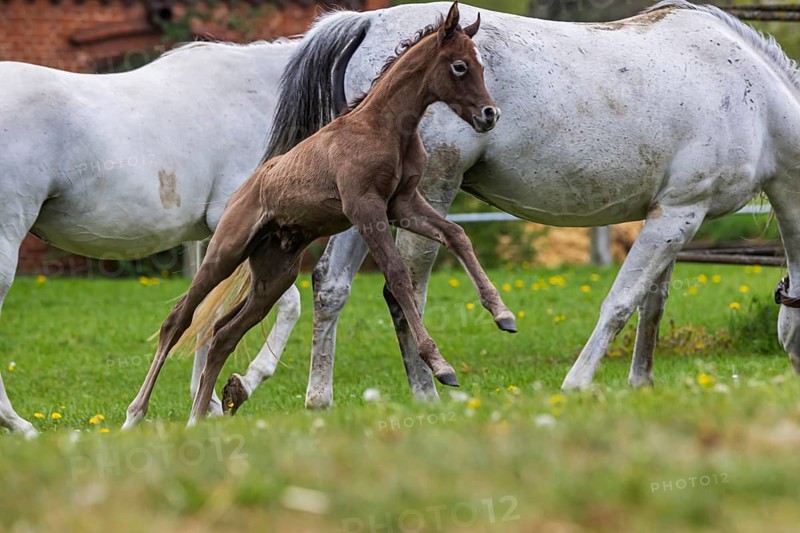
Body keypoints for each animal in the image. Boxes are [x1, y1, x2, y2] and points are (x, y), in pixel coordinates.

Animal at [0, 38, 305, 436]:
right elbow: (287, 304)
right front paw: (240, 386)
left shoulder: (218, 239)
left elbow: (207, 316)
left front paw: (207, 404)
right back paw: (21, 426)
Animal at [124, 2, 516, 427]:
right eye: (460, 66)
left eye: (481, 65)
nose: (489, 114)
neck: (383, 128)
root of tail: (242, 191)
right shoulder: (365, 207)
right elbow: (398, 276)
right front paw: (442, 366)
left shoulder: (403, 204)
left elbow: (456, 235)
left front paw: (503, 314)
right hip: (225, 253)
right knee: (177, 320)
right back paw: (136, 414)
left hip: (274, 275)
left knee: (223, 336)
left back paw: (198, 418)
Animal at [212, 0, 800, 412]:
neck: (754, 95)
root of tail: (366, 23)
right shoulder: (679, 214)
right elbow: (622, 301)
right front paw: (578, 383)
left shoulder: (673, 217)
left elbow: (652, 303)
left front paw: (641, 383)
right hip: (425, 196)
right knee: (404, 289)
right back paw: (429, 392)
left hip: (364, 207)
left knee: (331, 284)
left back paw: (320, 399)